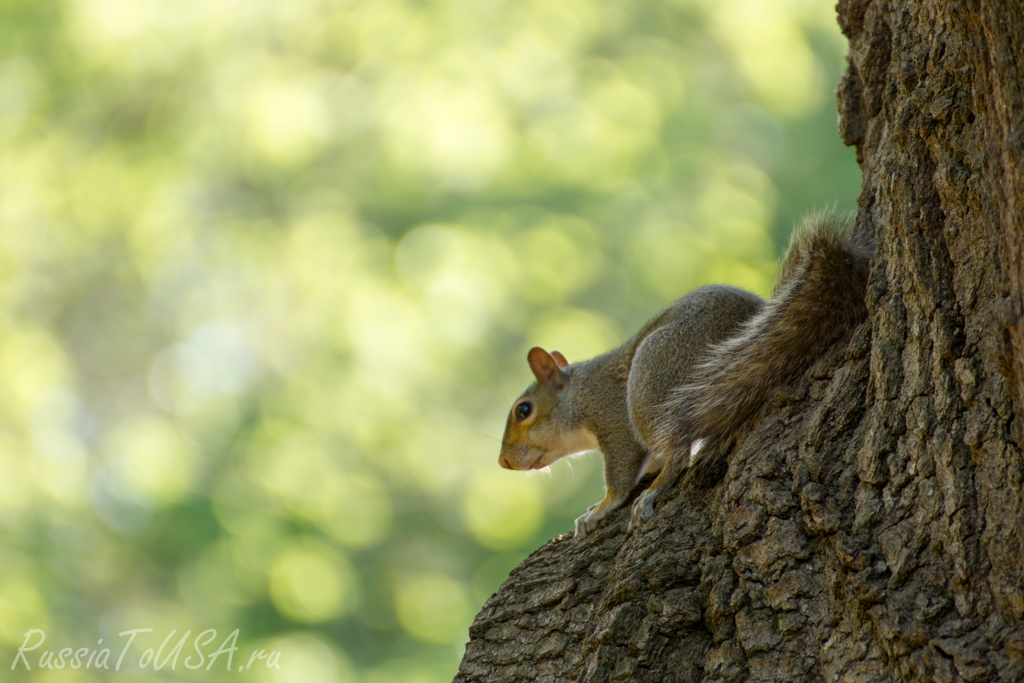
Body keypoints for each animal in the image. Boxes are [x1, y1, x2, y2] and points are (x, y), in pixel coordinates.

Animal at [495, 211, 872, 540]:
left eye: (523, 410)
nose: (503, 462)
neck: (581, 394)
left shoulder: (614, 422)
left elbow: (621, 475)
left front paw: (601, 508)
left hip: (650, 377)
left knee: (678, 452)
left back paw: (654, 491)